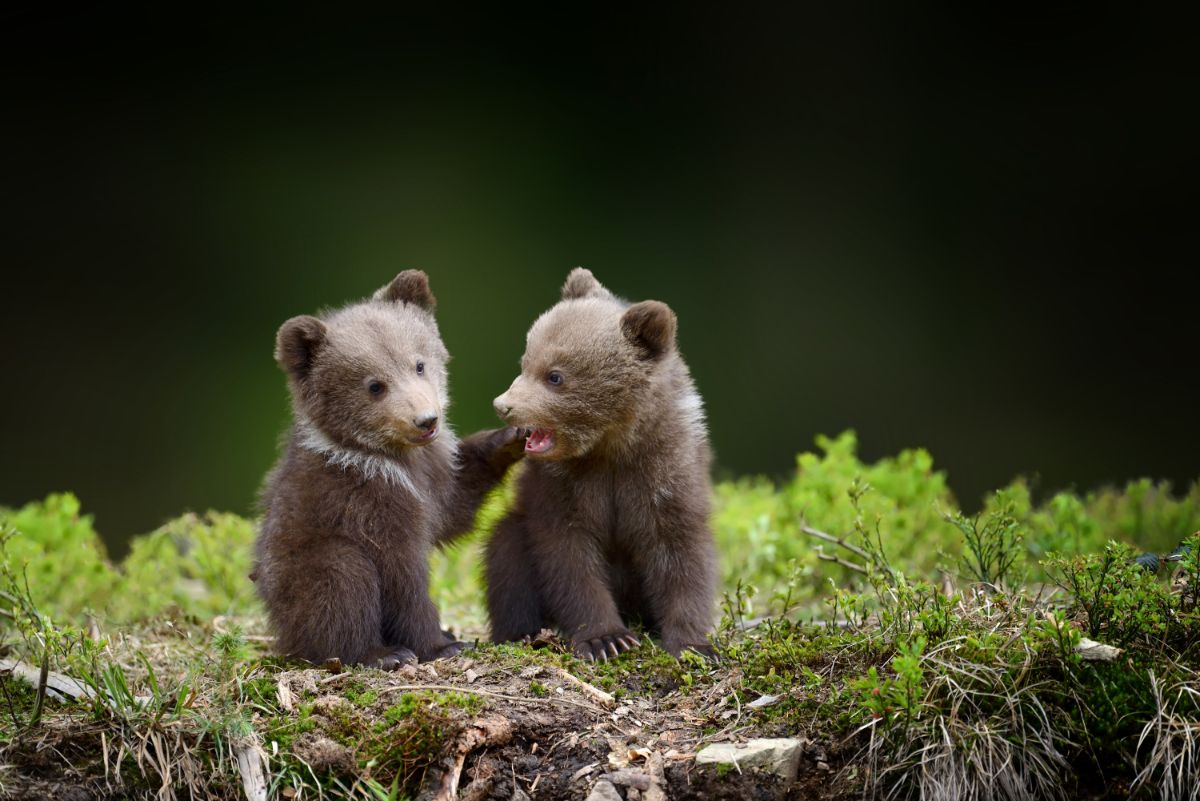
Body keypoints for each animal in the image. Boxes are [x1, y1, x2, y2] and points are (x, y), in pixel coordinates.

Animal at [254, 270, 526, 668]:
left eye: (418, 364)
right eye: (374, 385)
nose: (426, 420)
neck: (393, 458)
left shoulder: (433, 475)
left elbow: (454, 507)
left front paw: (510, 438)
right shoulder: (368, 501)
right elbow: (402, 575)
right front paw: (441, 644)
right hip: (304, 568)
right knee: (342, 580)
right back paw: (381, 653)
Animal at [486, 268, 718, 661]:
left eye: (555, 375)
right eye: (525, 362)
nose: (504, 405)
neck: (610, 447)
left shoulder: (665, 472)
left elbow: (681, 553)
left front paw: (693, 643)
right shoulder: (563, 486)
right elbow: (569, 558)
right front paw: (605, 638)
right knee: (506, 555)